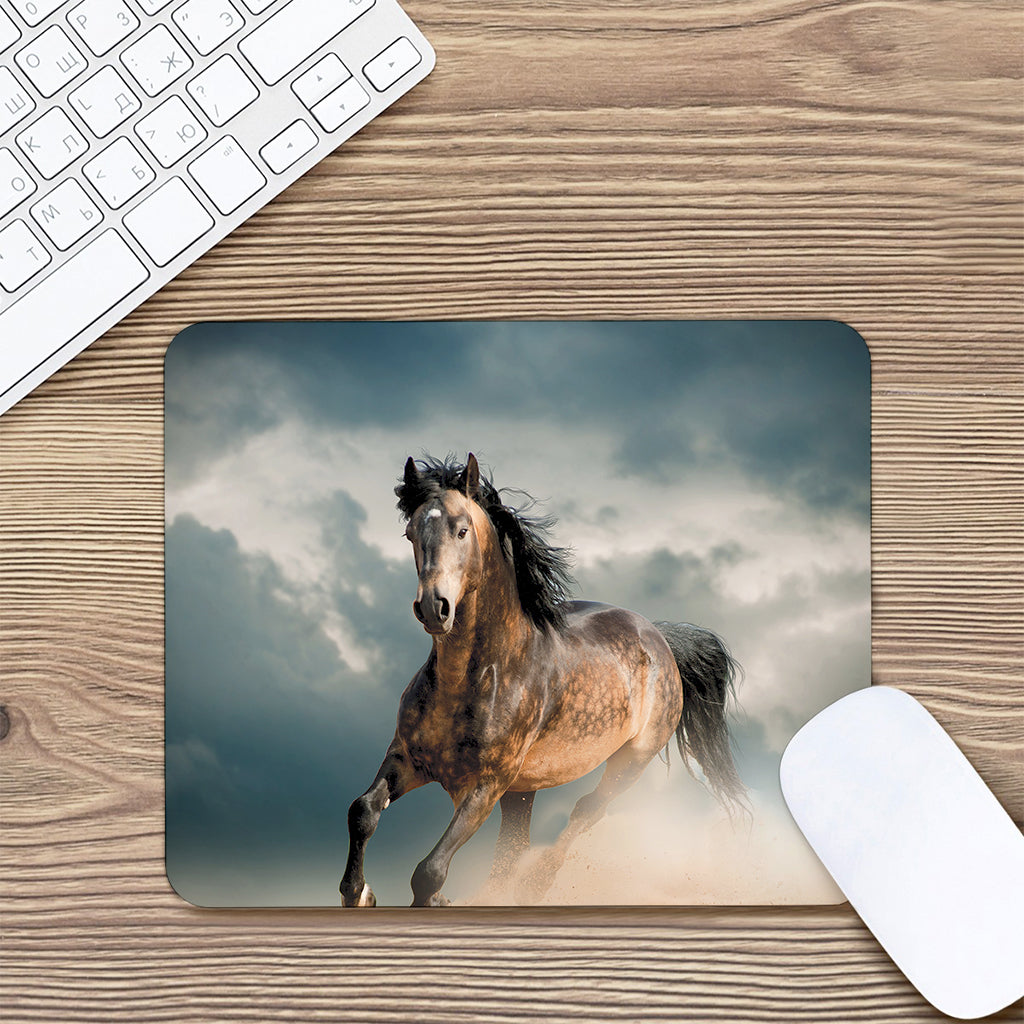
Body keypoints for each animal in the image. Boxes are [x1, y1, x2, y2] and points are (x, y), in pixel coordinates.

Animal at [340, 453, 747, 907]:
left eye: (462, 529)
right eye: (410, 532)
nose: (433, 607)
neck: (470, 679)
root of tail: (659, 637)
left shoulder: (485, 785)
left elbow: (429, 872)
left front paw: (426, 898)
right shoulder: (408, 758)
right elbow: (362, 811)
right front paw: (358, 892)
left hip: (630, 762)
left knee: (586, 811)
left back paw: (535, 884)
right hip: (523, 789)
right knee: (514, 846)